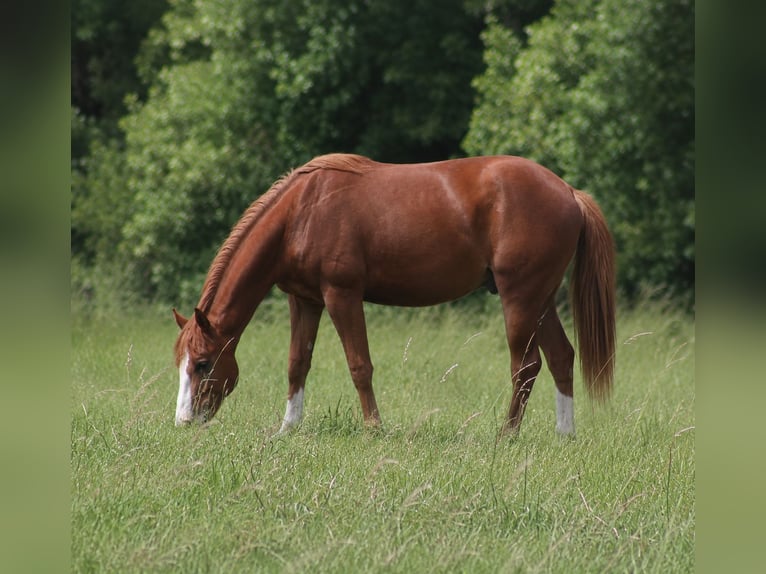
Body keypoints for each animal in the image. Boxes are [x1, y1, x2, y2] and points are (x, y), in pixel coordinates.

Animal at [173, 153, 615, 436]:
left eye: (204, 364)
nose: (184, 422)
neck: (301, 212)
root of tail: (569, 192)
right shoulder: (305, 300)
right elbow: (298, 364)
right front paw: (287, 428)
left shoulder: (342, 295)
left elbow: (359, 365)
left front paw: (374, 428)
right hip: (540, 300)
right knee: (561, 357)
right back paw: (564, 434)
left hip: (519, 299)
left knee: (526, 366)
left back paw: (506, 436)